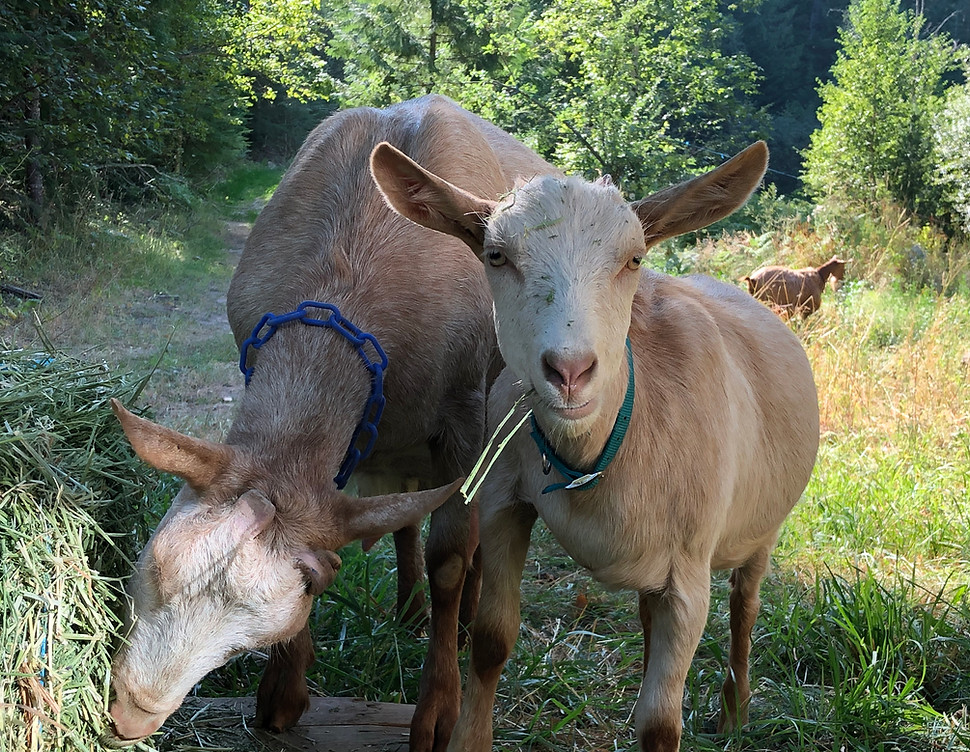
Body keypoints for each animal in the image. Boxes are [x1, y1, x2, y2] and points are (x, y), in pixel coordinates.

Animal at [106, 95, 559, 751]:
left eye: (244, 643)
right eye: (153, 570)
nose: (131, 716)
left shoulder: (463, 415)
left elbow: (450, 554)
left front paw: (438, 710)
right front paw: (282, 690)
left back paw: (462, 619)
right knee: (403, 520)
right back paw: (407, 611)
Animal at [371, 140, 819, 752]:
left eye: (634, 259)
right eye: (495, 255)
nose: (569, 371)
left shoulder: (690, 571)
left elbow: (660, 724)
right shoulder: (506, 505)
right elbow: (490, 642)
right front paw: (469, 737)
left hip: (761, 531)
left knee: (744, 606)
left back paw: (734, 712)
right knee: (653, 618)